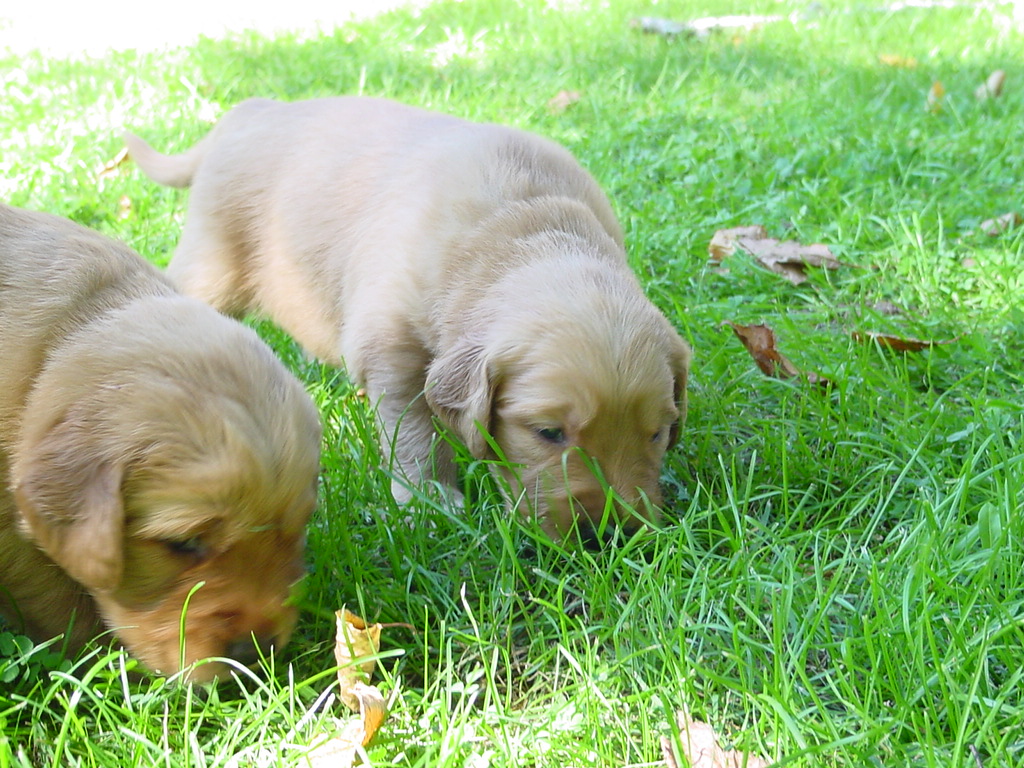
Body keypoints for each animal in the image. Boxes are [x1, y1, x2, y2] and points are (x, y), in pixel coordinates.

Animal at [123, 96, 692, 540]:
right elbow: (414, 432)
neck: (524, 228)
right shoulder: (390, 348)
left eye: (660, 433)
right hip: (213, 259)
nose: (613, 536)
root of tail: (246, 113)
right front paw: (430, 502)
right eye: (548, 433)